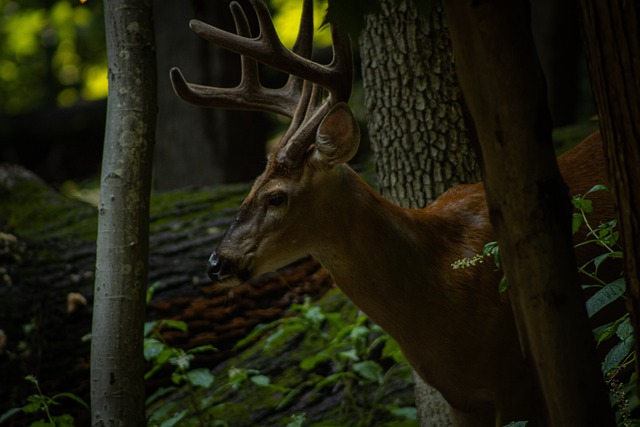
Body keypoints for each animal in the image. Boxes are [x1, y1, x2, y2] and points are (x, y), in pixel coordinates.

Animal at [170, 1, 616, 426]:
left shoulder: (515, 379)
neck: (442, 288)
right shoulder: (461, 398)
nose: (216, 263)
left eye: (277, 197)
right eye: (249, 188)